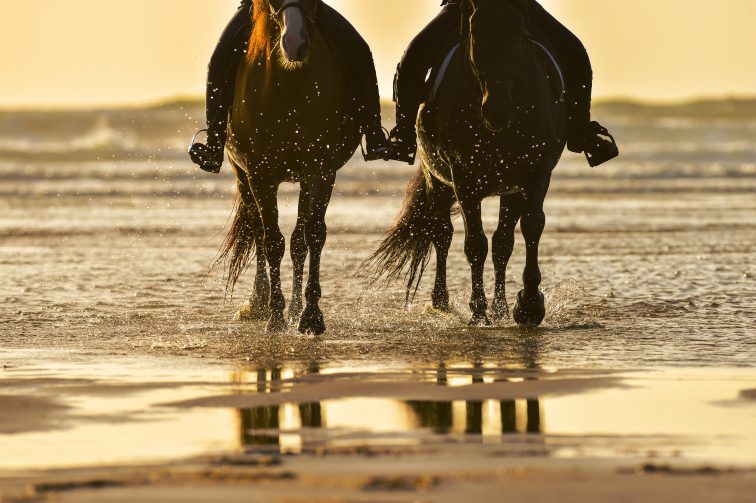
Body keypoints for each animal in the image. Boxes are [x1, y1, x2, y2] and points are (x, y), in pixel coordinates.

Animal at [217, 0, 362, 334]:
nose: (294, 43)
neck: (290, 89)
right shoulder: (260, 174)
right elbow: (271, 240)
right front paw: (274, 315)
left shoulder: (320, 171)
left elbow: (312, 236)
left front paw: (311, 315)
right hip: (242, 175)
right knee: (258, 231)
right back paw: (258, 302)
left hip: (304, 182)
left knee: (298, 240)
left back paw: (295, 308)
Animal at [366, 0, 568, 328]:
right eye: (476, 34)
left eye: (519, 34)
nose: (497, 110)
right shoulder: (465, 179)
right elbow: (475, 244)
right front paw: (478, 310)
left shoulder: (536, 173)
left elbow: (531, 226)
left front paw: (528, 306)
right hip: (438, 183)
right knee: (442, 234)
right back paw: (442, 302)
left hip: (510, 191)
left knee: (502, 243)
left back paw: (500, 308)